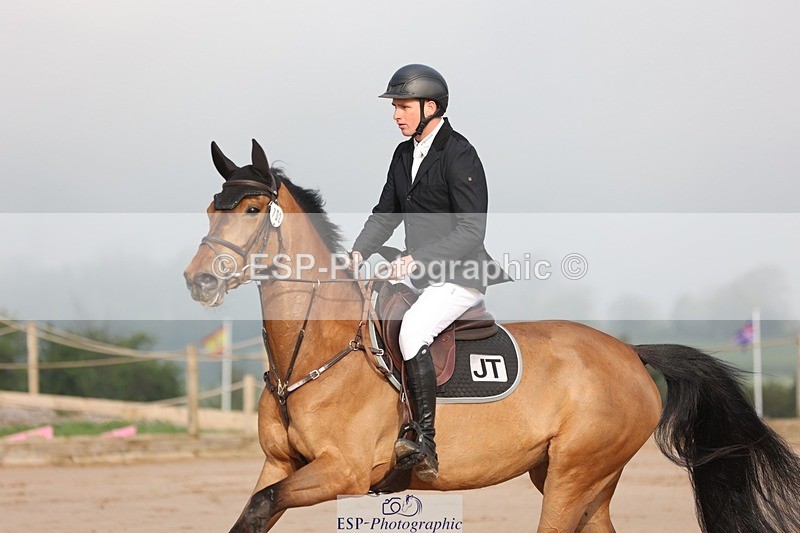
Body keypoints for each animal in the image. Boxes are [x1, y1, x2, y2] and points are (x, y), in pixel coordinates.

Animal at [183, 139, 800, 532]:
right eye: (212, 208)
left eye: (253, 208)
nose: (199, 280)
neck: (314, 351)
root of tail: (629, 352)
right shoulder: (282, 465)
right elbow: (254, 510)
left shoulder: (344, 471)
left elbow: (261, 505)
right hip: (581, 481)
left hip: (573, 476)